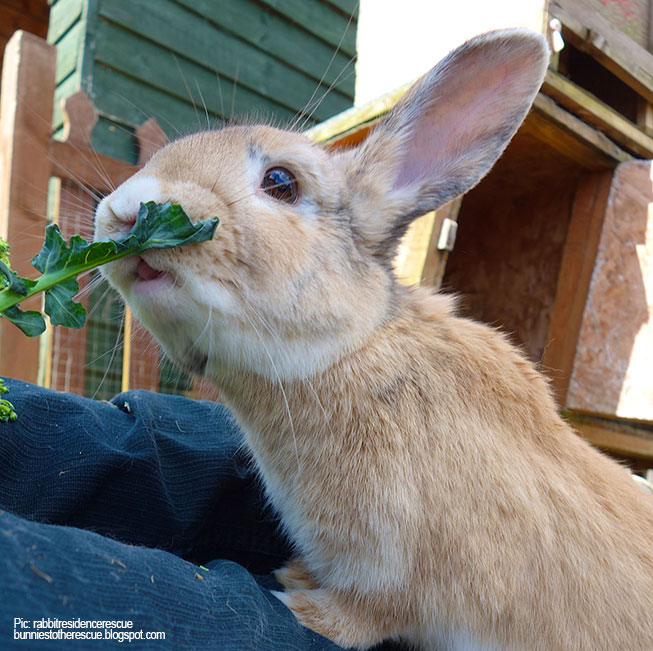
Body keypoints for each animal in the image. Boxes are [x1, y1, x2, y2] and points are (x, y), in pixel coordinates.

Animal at [94, 29, 653, 651]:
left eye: (281, 183)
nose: (124, 211)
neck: (350, 349)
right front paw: (297, 575)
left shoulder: (398, 574)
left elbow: (366, 615)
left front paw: (299, 605)